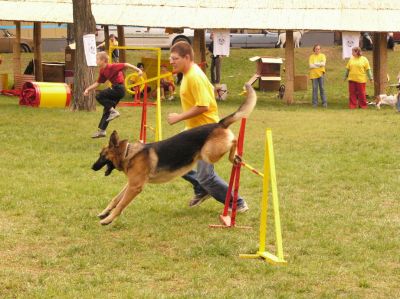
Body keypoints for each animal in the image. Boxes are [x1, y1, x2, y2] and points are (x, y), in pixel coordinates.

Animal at [92, 84, 256, 225]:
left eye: (102, 155)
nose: (92, 167)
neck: (128, 153)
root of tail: (219, 124)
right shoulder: (131, 184)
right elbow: (115, 199)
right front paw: (104, 213)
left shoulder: (135, 187)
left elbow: (120, 205)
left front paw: (108, 220)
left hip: (209, 153)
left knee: (234, 140)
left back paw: (235, 154)